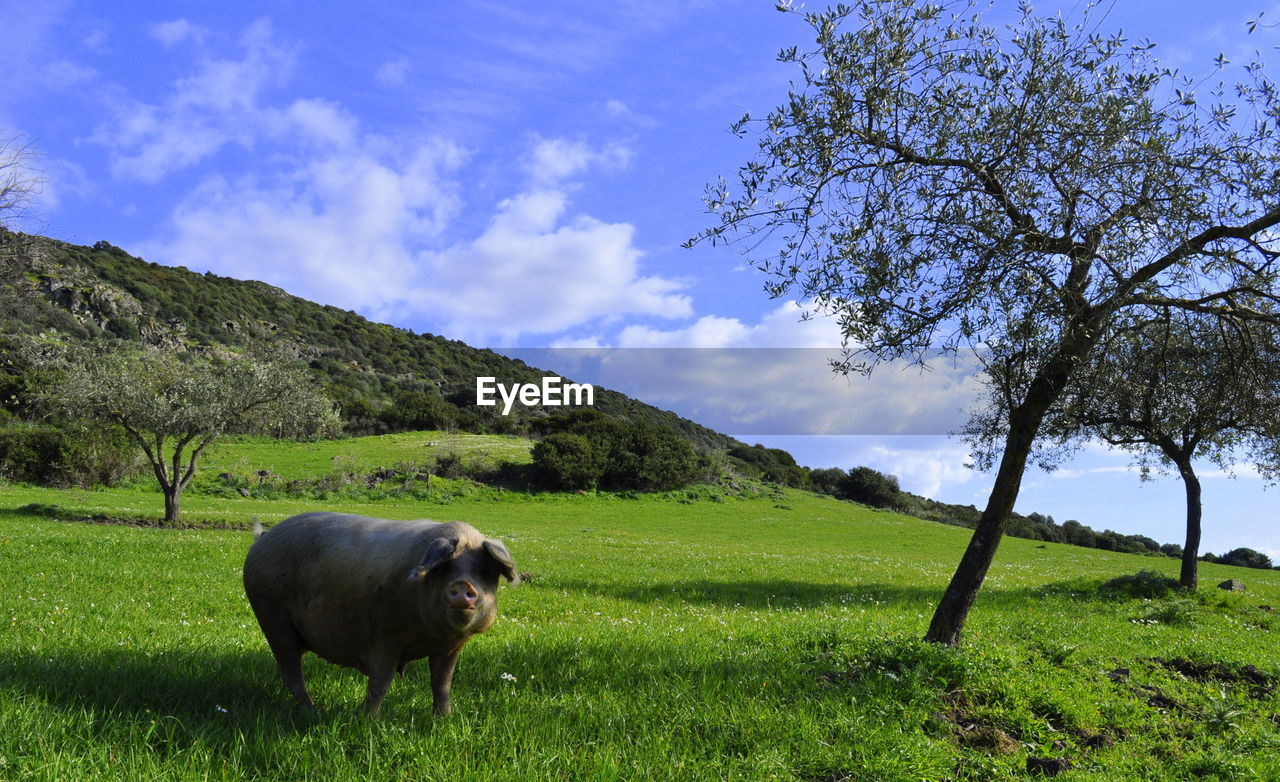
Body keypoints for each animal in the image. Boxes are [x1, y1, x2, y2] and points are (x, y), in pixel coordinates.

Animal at [243, 511, 518, 715]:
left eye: (485, 570)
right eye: (445, 567)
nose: (463, 584)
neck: (430, 635)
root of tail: (262, 539)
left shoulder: (450, 647)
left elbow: (442, 683)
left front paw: (445, 718)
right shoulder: (385, 635)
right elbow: (381, 682)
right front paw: (366, 720)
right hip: (272, 619)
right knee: (290, 670)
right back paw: (312, 711)